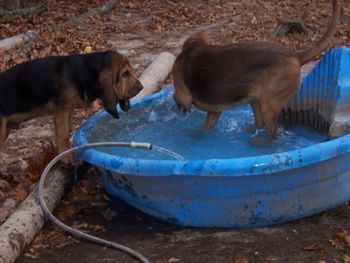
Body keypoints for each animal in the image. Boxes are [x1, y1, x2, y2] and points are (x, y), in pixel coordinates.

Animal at [0, 50, 143, 155]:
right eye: (125, 73)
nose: (141, 87)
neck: (85, 72)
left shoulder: (67, 110)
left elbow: (66, 132)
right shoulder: (61, 109)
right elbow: (63, 136)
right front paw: (68, 160)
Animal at [172, 0, 340, 139]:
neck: (190, 50)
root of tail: (294, 55)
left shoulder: (184, 98)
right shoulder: (214, 112)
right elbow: (205, 127)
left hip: (268, 107)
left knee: (273, 133)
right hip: (256, 102)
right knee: (261, 125)